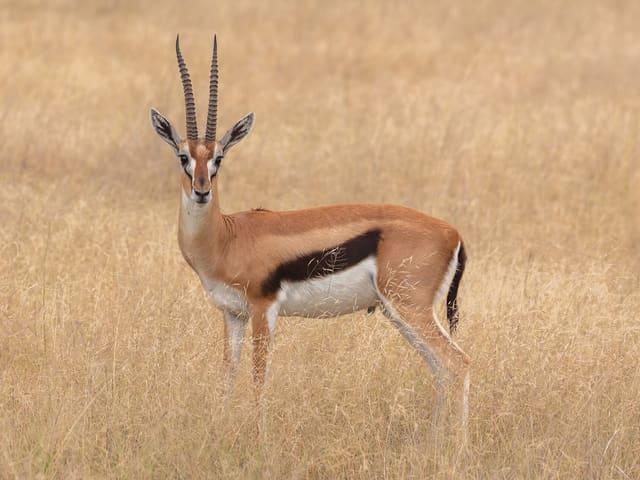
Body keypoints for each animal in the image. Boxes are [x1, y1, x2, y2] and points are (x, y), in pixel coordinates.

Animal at [150, 35, 471, 434]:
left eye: (219, 158)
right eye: (183, 157)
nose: (201, 190)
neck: (227, 237)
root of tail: (453, 232)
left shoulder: (263, 308)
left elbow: (258, 378)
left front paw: (258, 437)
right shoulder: (233, 314)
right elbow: (227, 375)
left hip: (409, 308)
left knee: (458, 365)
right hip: (401, 313)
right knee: (441, 370)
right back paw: (432, 441)